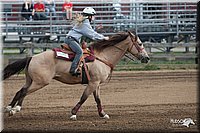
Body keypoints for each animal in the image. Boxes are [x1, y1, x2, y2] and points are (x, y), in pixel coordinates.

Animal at [3, 31, 150, 120]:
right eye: (140, 43)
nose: (147, 58)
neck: (102, 57)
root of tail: (32, 57)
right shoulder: (93, 83)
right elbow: (84, 98)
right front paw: (73, 114)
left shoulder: (96, 84)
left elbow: (98, 99)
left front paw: (103, 114)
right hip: (40, 82)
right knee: (24, 92)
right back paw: (14, 109)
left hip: (30, 80)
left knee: (20, 91)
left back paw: (10, 108)